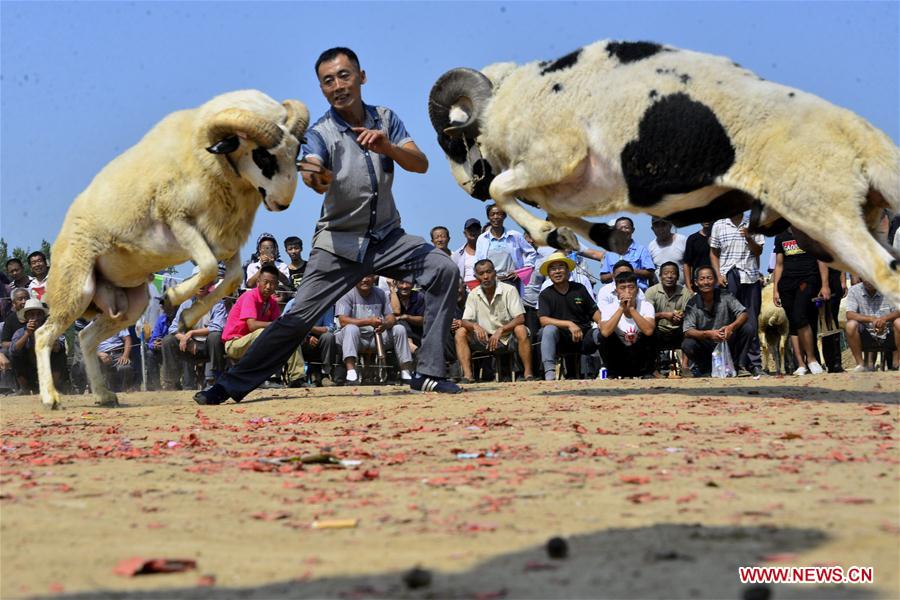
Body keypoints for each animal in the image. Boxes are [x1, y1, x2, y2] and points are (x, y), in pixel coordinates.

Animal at [33, 90, 310, 408]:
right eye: (263, 155)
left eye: (296, 152)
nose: (283, 202)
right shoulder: (177, 220)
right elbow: (209, 268)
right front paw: (173, 297)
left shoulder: (224, 238)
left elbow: (231, 278)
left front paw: (186, 316)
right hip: (76, 287)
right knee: (43, 334)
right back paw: (50, 398)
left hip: (130, 305)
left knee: (87, 338)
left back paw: (104, 395)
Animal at [428, 38, 900, 304]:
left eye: (450, 140)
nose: (470, 187)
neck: (508, 99)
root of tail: (862, 135)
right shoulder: (573, 186)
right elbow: (556, 211)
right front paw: (598, 236)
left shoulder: (554, 155)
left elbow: (505, 190)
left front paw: (550, 235)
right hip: (839, 228)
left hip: (823, 210)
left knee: (886, 273)